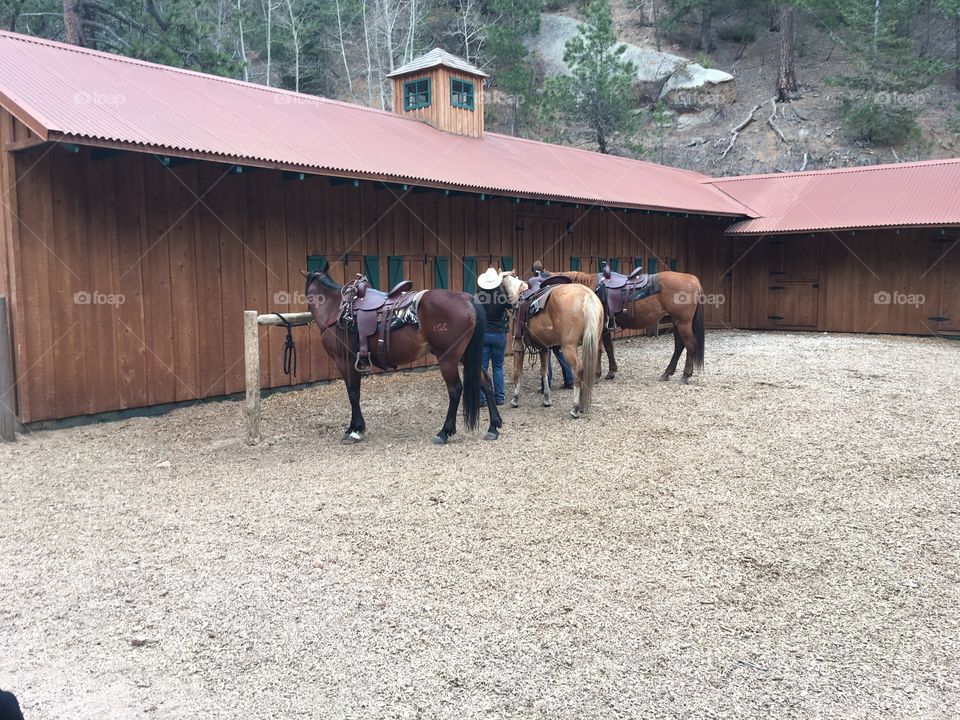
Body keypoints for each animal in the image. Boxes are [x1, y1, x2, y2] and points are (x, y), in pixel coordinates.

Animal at [304, 261, 502, 444]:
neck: (335, 308)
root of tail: (466, 299)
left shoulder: (344, 361)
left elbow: (353, 393)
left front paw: (354, 430)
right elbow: (355, 393)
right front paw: (356, 427)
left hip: (448, 358)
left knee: (455, 390)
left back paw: (444, 432)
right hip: (465, 355)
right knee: (485, 382)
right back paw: (493, 426)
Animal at [499, 271, 604, 418]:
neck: (518, 293)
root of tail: (587, 295)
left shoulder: (519, 346)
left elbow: (517, 372)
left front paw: (515, 399)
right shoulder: (544, 348)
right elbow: (544, 372)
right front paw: (547, 399)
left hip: (569, 347)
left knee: (578, 370)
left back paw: (575, 407)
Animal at [556, 269, 705, 384]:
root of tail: (693, 280)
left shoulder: (599, 328)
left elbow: (599, 350)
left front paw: (597, 374)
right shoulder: (605, 328)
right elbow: (609, 348)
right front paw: (611, 372)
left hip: (683, 323)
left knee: (690, 344)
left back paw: (685, 375)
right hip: (676, 322)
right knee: (679, 345)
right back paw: (667, 373)